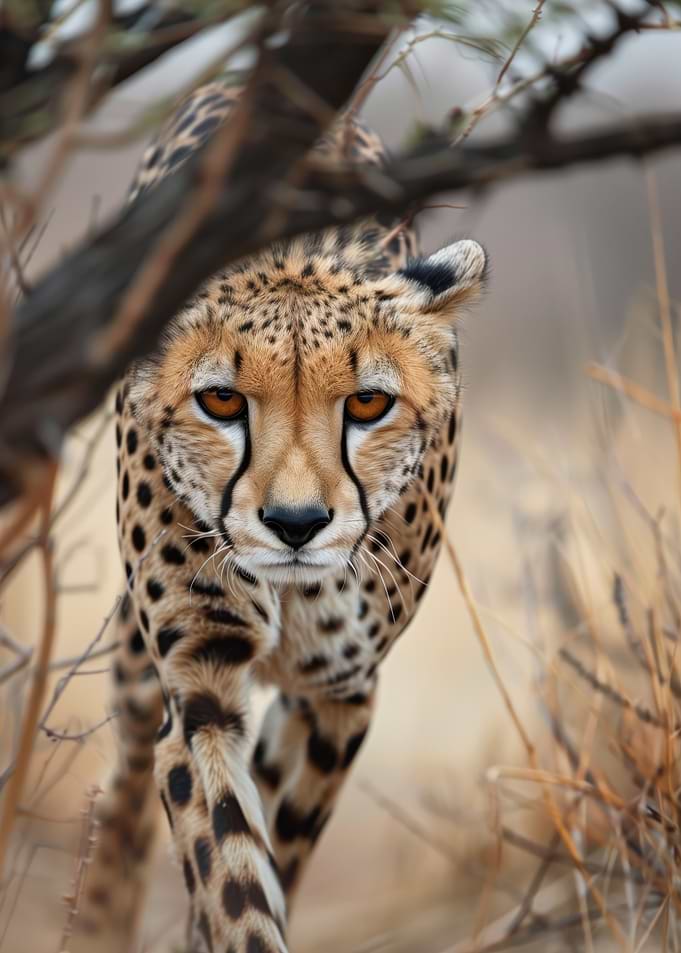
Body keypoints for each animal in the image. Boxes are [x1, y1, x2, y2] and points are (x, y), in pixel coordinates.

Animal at [69, 81, 487, 953]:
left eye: (367, 403)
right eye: (222, 401)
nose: (296, 522)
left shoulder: (338, 692)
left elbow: (269, 850)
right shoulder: (198, 677)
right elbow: (229, 871)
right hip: (137, 663)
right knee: (127, 781)